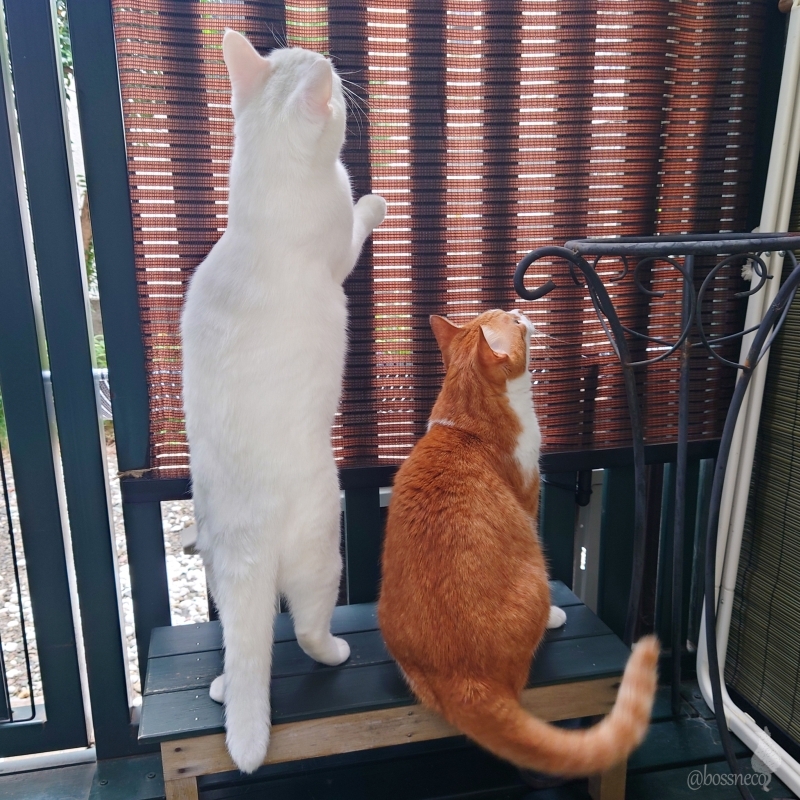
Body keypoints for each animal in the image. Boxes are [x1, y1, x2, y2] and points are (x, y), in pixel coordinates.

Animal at [181, 29, 386, 773]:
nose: (331, 61)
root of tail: (244, 542)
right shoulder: (338, 252)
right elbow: (355, 223)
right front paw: (376, 201)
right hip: (323, 554)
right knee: (305, 629)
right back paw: (336, 651)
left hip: (216, 566)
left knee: (245, 642)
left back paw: (219, 687)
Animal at [378, 309, 659, 777]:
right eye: (512, 320)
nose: (521, 309)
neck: (466, 423)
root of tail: (465, 681)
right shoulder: (529, 499)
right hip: (536, 575)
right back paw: (552, 619)